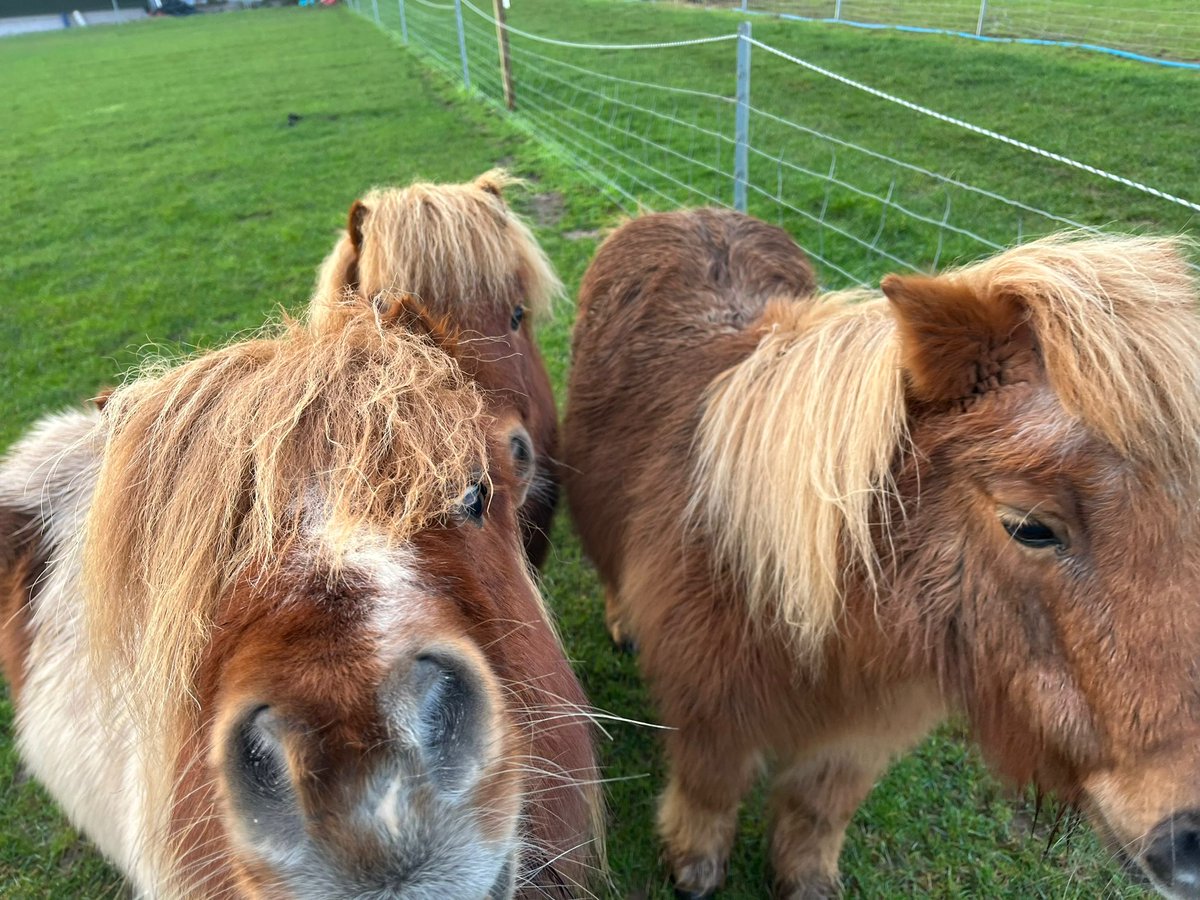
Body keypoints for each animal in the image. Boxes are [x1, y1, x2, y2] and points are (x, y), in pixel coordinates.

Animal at [564, 207, 1200, 899]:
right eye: (1028, 526)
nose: (1189, 838)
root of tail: (681, 215)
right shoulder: (709, 710)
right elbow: (711, 790)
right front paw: (693, 865)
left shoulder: (859, 736)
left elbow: (818, 810)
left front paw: (806, 880)